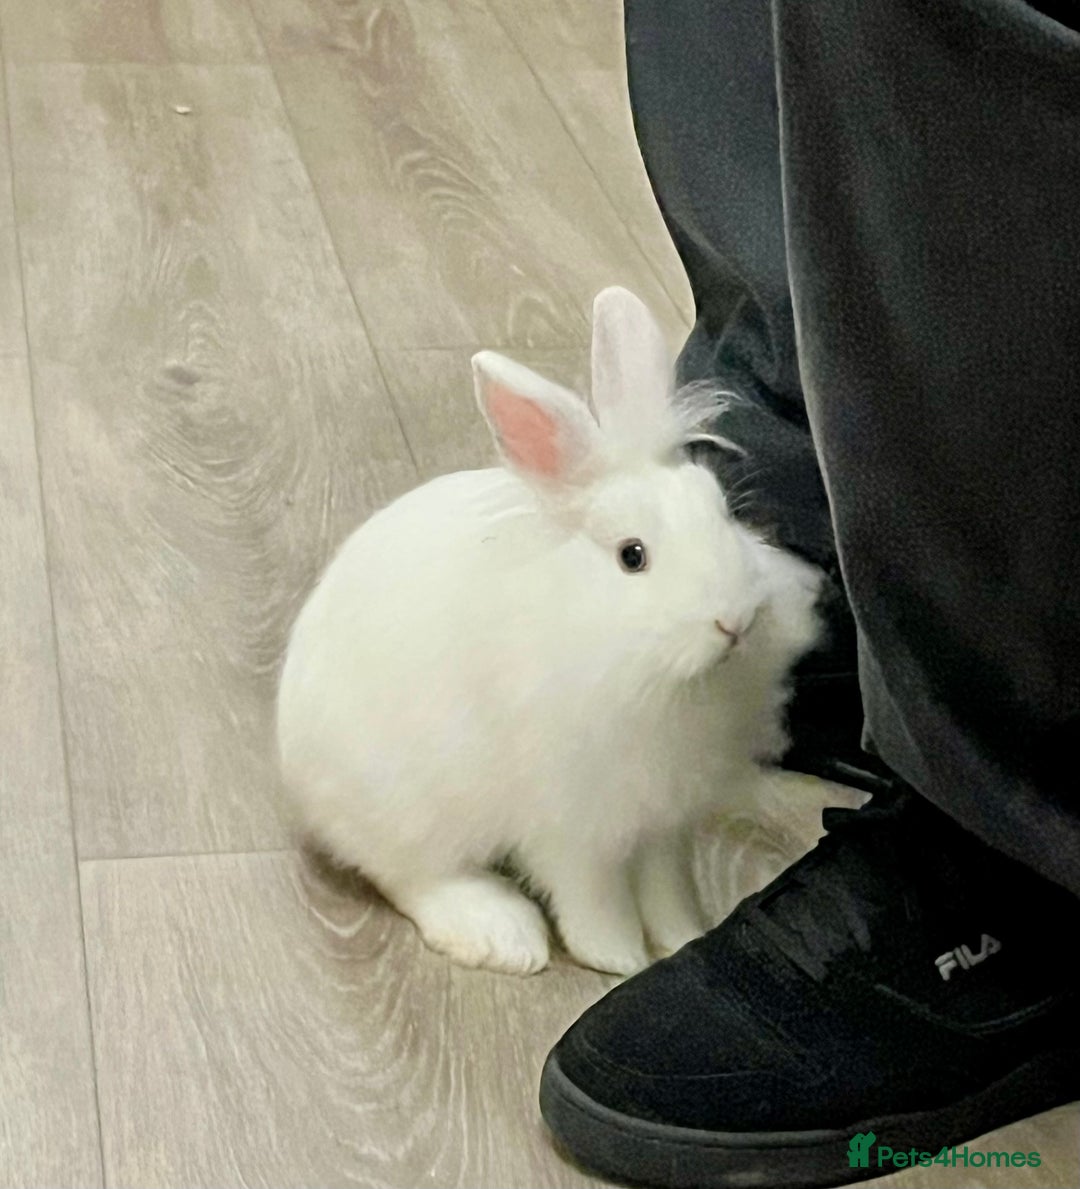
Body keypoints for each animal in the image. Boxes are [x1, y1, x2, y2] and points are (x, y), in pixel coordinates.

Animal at [276, 286, 822, 977]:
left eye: (722, 513)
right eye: (632, 556)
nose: (735, 622)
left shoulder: (664, 821)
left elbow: (666, 888)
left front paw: (683, 938)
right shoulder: (574, 823)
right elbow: (593, 897)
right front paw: (621, 959)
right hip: (409, 805)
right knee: (410, 875)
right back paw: (501, 933)